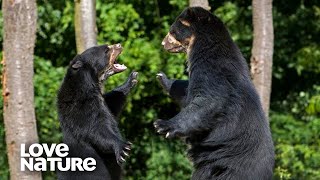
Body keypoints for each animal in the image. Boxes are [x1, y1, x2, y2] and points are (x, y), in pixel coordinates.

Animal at [57, 44, 138, 180]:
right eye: (106, 50)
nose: (119, 45)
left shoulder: (102, 100)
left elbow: (113, 102)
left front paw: (131, 79)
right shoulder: (80, 105)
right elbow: (95, 128)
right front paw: (123, 147)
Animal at [154, 7, 274, 180]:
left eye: (172, 31)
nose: (163, 43)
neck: (201, 45)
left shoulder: (214, 71)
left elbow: (207, 102)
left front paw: (162, 125)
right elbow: (186, 93)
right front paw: (163, 78)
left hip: (234, 164)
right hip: (209, 162)